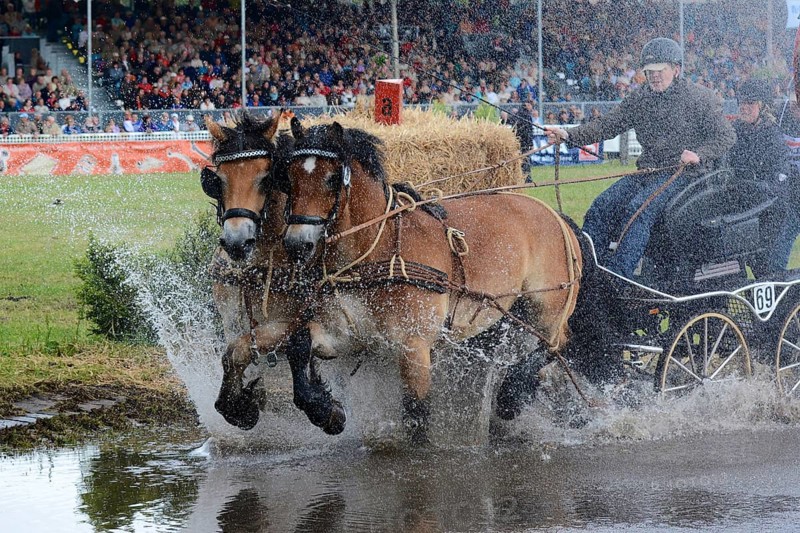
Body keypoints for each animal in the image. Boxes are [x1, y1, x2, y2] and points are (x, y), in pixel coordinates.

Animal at [202, 111, 346, 433]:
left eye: (267, 178)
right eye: (218, 180)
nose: (237, 241)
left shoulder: (297, 319)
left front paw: (325, 408)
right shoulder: (233, 319)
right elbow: (234, 353)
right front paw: (242, 404)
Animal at [281, 119, 584, 441]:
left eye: (332, 179)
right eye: (289, 177)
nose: (296, 244)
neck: (380, 252)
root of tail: (556, 216)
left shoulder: (414, 347)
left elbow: (416, 414)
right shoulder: (345, 334)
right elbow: (298, 344)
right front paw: (325, 410)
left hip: (547, 307)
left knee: (556, 345)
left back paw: (511, 395)